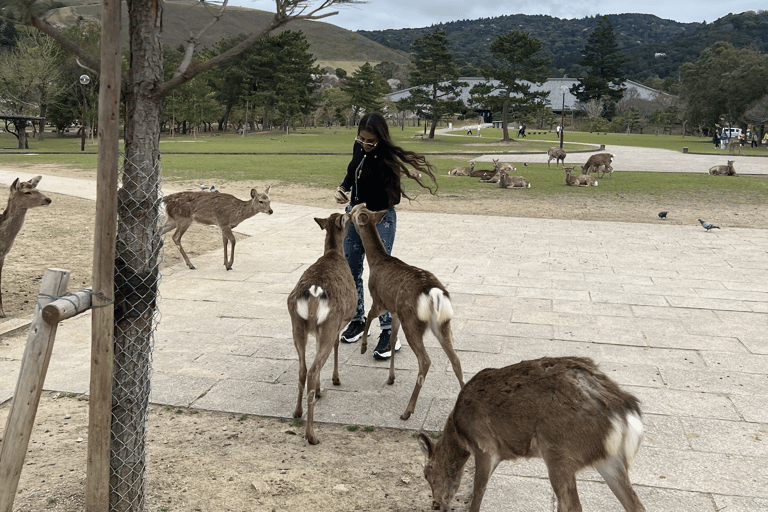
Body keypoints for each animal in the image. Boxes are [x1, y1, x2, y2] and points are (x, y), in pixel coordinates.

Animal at [288, 212, 356, 444]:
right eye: (347, 218)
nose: (351, 213)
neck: (334, 253)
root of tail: (314, 292)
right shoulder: (337, 325)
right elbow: (337, 345)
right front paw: (335, 379)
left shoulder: (316, 331)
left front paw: (319, 389)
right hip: (329, 323)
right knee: (313, 369)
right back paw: (312, 435)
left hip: (296, 325)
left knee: (303, 368)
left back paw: (297, 412)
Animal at [350, 204, 468, 420]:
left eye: (355, 211)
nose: (352, 207)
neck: (376, 262)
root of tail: (434, 294)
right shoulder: (396, 313)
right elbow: (391, 338)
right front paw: (391, 378)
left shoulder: (380, 299)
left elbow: (369, 316)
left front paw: (363, 346)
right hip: (442, 324)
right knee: (456, 360)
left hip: (412, 321)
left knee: (425, 360)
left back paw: (407, 411)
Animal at [420, 356, 648, 512]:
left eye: (427, 474)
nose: (435, 504)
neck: (460, 432)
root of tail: (626, 412)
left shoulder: (484, 445)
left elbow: (477, 494)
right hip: (610, 460)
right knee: (635, 504)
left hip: (560, 454)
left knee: (572, 506)